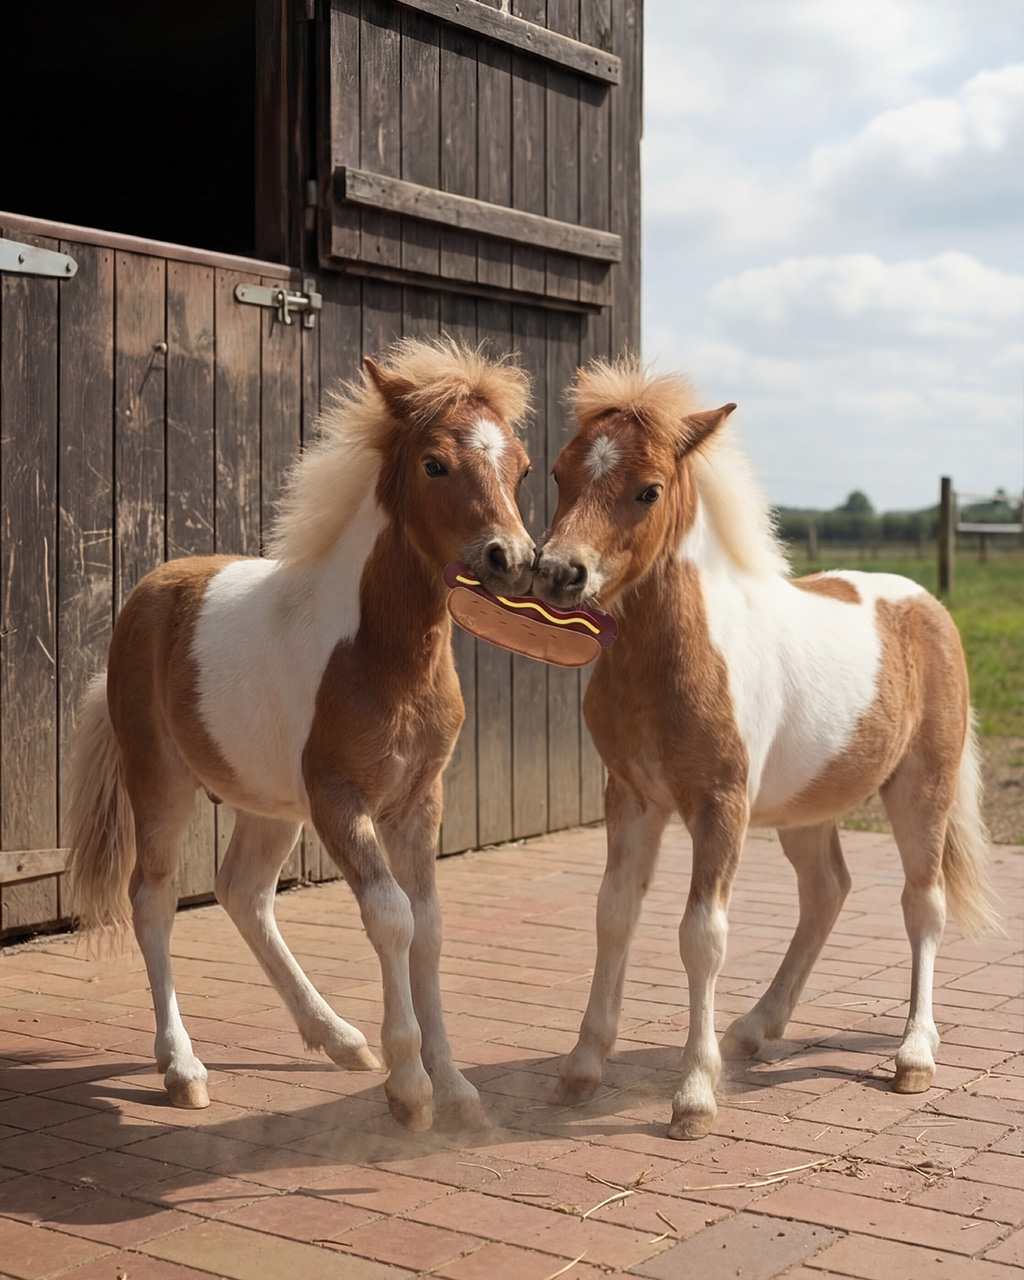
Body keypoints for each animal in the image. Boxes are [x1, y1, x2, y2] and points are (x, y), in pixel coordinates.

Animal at [67, 336, 534, 1132]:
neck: (379, 650)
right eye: (434, 464)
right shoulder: (340, 800)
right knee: (154, 899)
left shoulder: (418, 801)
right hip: (161, 781)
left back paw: (339, 1038)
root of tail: (142, 599)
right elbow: (392, 918)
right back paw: (182, 1067)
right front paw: (411, 1091)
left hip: (267, 801)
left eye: (524, 468)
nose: (512, 558)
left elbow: (431, 925)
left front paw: (454, 1087)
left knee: (243, 893)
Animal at [532, 356, 1000, 1140]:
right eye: (561, 473)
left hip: (921, 787)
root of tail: (928, 604)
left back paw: (914, 1055)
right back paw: (754, 1029)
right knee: (827, 891)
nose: (560, 572)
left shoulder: (720, 804)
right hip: (808, 806)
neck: (675, 655)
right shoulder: (632, 797)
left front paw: (693, 1096)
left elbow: (703, 935)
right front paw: (581, 1069)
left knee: (922, 904)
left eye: (647, 489)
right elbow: (614, 914)